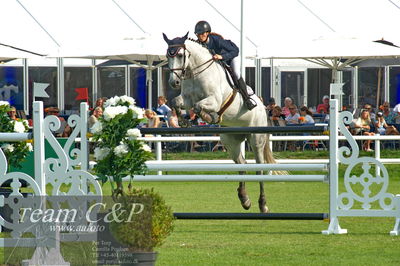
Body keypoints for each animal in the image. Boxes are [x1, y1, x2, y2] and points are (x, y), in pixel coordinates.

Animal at [164, 32, 276, 213]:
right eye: (167, 56)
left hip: (256, 138)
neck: (195, 72)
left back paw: (263, 204)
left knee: (259, 168)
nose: (174, 83)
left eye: (180, 55)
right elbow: (176, 102)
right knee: (242, 164)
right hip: (231, 141)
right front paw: (183, 121)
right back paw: (244, 199)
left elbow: (199, 106)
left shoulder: (214, 101)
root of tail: (263, 108)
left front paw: (210, 117)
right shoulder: (186, 99)